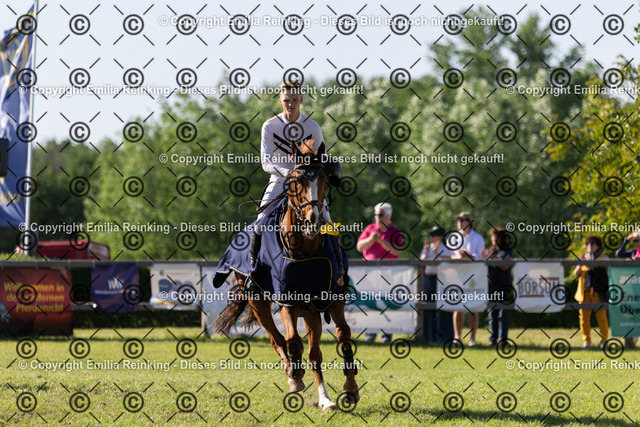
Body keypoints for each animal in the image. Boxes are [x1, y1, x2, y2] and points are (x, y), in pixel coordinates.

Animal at [213, 140, 359, 411]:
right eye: (295, 181)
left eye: (324, 178)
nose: (313, 220)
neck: (306, 252)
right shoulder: (288, 302)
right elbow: (293, 341)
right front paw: (296, 376)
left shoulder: (331, 299)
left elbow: (343, 336)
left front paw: (349, 389)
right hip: (258, 303)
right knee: (277, 339)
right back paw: (293, 375)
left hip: (310, 311)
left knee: (314, 353)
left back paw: (324, 398)